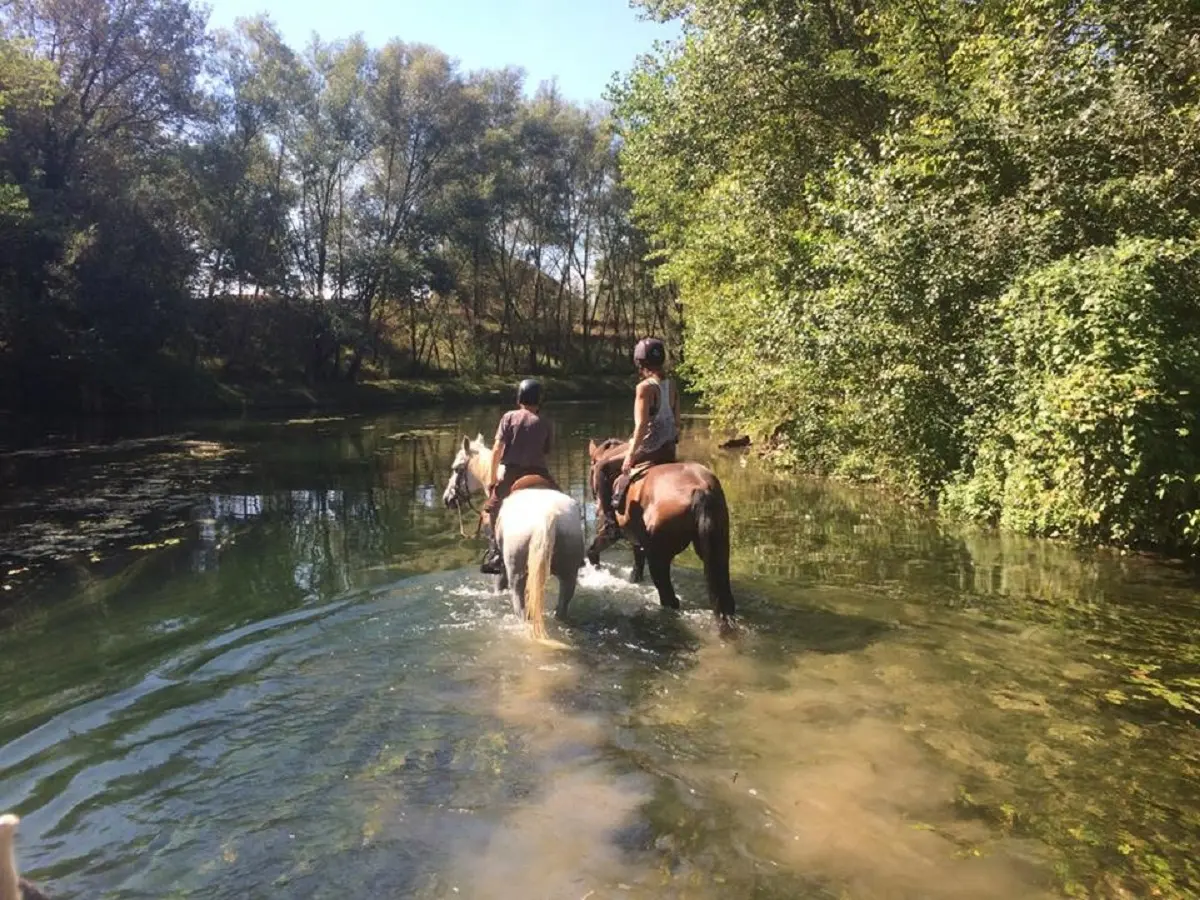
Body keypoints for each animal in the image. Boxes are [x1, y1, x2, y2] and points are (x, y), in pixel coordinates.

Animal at [443, 435, 584, 643]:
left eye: (456, 468)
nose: (448, 499)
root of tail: (546, 518)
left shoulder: (500, 569)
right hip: (568, 575)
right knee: (561, 608)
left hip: (517, 577)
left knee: (522, 612)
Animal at [587, 438, 736, 627]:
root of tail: (701, 490)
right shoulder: (637, 540)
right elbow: (637, 567)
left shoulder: (610, 532)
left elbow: (593, 550)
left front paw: (596, 569)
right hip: (719, 550)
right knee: (725, 598)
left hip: (659, 558)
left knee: (668, 598)